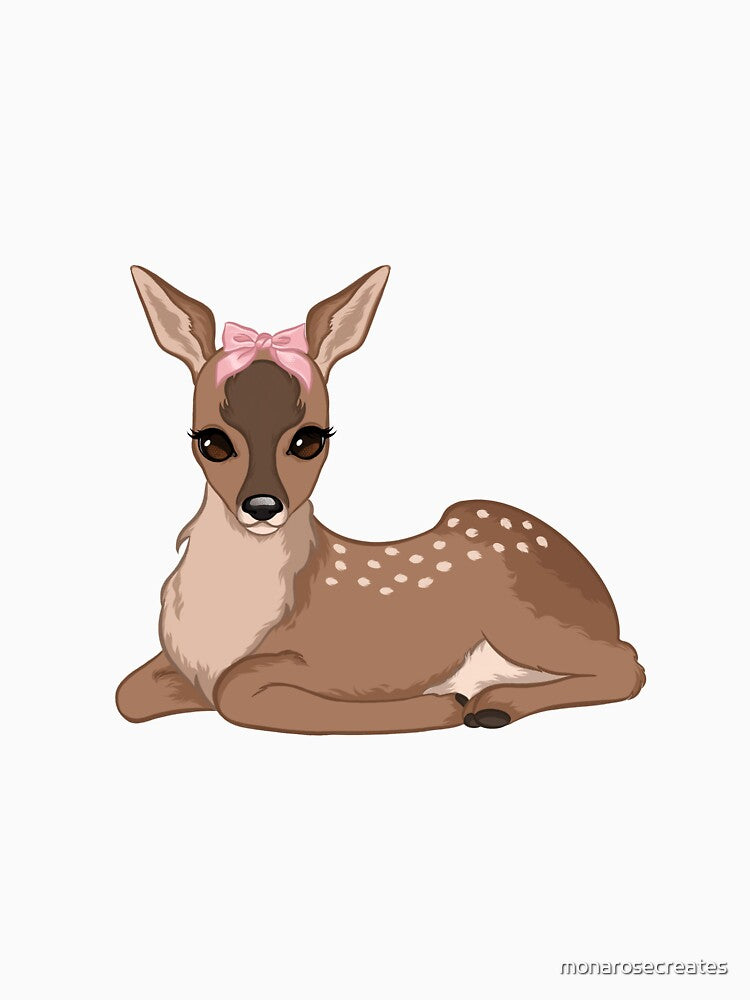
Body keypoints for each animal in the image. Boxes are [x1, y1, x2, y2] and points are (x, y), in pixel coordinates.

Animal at [116, 265, 645, 734]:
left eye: (310, 439)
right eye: (210, 441)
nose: (263, 506)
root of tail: (602, 599)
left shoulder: (347, 662)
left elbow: (237, 690)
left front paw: (442, 705)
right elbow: (127, 694)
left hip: (521, 618)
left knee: (630, 662)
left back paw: (492, 705)